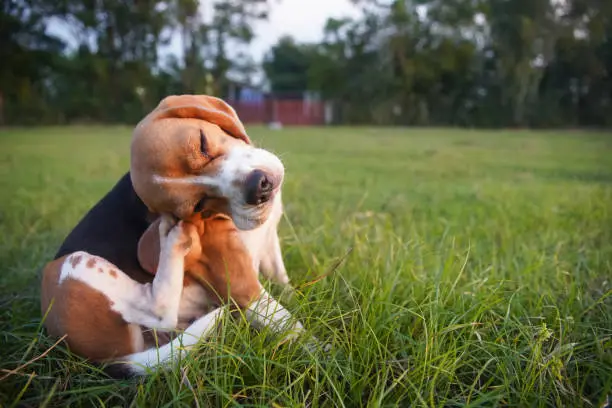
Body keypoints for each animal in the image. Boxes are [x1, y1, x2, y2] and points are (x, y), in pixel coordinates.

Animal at [42, 95, 308, 376]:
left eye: (202, 143)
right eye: (198, 205)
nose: (259, 189)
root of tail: (106, 360)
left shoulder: (269, 244)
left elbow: (282, 280)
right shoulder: (243, 287)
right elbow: (295, 329)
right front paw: (322, 355)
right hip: (74, 266)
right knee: (158, 310)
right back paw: (173, 239)